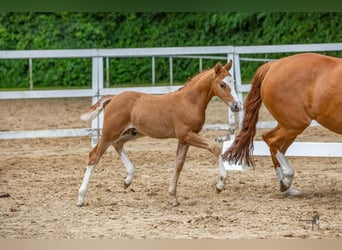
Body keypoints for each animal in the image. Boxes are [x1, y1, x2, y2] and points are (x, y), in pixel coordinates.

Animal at [78, 60, 242, 207]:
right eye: (222, 84)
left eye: (233, 82)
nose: (237, 106)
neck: (189, 102)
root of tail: (113, 98)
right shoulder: (187, 135)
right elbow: (215, 147)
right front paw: (220, 184)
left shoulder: (184, 139)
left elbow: (178, 164)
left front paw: (173, 197)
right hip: (110, 132)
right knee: (94, 156)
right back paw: (81, 198)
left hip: (133, 132)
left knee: (117, 144)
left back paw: (127, 180)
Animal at [223, 52, 340, 196]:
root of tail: (273, 65)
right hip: (295, 124)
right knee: (271, 140)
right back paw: (287, 179)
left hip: (289, 125)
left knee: (276, 145)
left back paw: (286, 187)